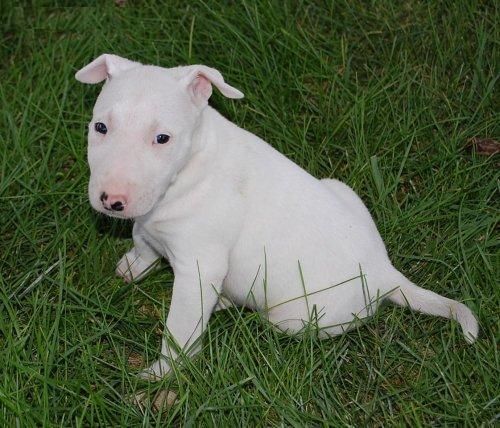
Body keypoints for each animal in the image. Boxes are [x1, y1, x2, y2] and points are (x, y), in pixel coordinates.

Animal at [76, 55, 478, 380]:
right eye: (100, 127)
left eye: (163, 138)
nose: (112, 201)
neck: (189, 168)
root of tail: (384, 273)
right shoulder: (148, 223)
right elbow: (142, 241)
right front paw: (131, 267)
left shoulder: (199, 267)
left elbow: (182, 327)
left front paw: (161, 374)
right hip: (341, 189)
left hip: (297, 318)